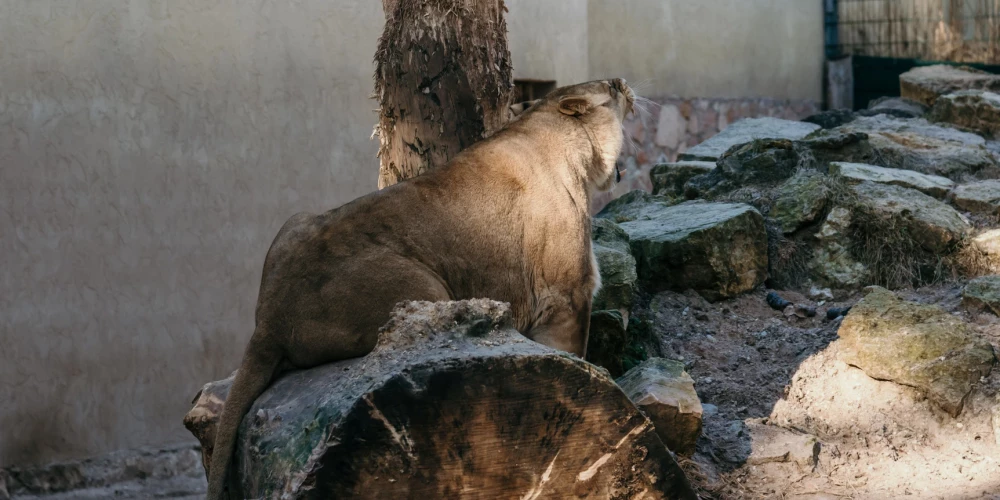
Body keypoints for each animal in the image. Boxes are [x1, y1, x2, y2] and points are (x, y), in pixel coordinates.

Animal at [207, 79, 636, 500]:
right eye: (613, 89)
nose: (626, 84)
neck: (544, 124)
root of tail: (269, 319)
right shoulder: (566, 296)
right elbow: (575, 356)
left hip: (297, 221)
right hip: (427, 288)